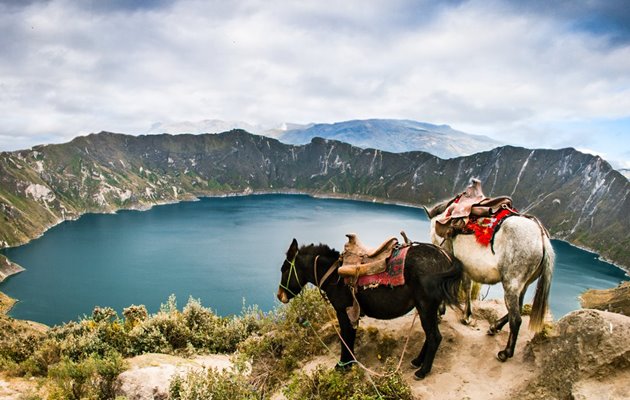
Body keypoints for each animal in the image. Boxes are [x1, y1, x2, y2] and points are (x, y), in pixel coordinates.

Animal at [276, 239, 464, 380]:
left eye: (284, 269)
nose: (279, 295)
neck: (333, 274)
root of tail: (445, 258)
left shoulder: (343, 312)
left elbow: (346, 338)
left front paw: (343, 365)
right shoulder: (351, 314)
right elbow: (350, 337)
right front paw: (350, 363)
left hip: (426, 306)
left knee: (434, 337)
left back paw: (422, 371)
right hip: (426, 308)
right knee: (430, 335)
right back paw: (417, 361)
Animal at [428, 202, 556, 360]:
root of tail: (542, 238)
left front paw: (441, 312)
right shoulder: (464, 266)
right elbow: (467, 286)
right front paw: (466, 316)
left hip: (511, 284)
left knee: (516, 319)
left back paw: (505, 353)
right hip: (523, 285)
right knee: (518, 308)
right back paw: (494, 327)